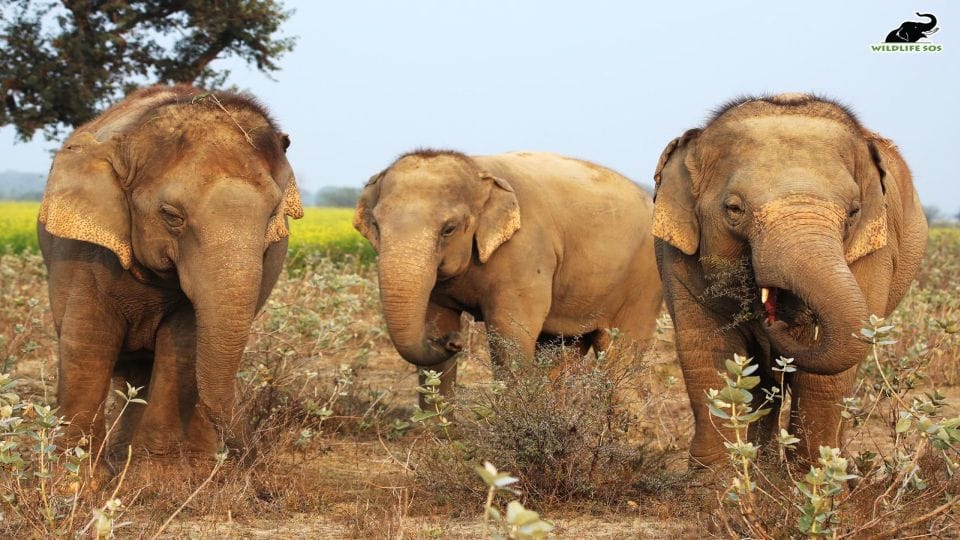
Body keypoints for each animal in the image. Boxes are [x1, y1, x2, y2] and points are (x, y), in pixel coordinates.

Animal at [38, 85, 303, 462]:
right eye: (171, 215)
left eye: (271, 216)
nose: (253, 455)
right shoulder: (87, 251)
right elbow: (88, 340)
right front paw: (75, 475)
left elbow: (184, 344)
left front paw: (157, 473)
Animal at [354, 150, 663, 400]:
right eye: (376, 225)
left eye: (449, 229)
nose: (455, 341)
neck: (478, 170)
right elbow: (436, 321)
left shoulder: (524, 251)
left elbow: (510, 331)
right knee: (562, 352)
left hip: (645, 279)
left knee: (620, 354)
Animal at [652, 94, 927, 465]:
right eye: (734, 209)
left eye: (854, 212)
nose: (774, 321)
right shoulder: (675, 251)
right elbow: (707, 346)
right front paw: (717, 477)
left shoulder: (875, 252)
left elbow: (827, 374)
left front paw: (814, 474)